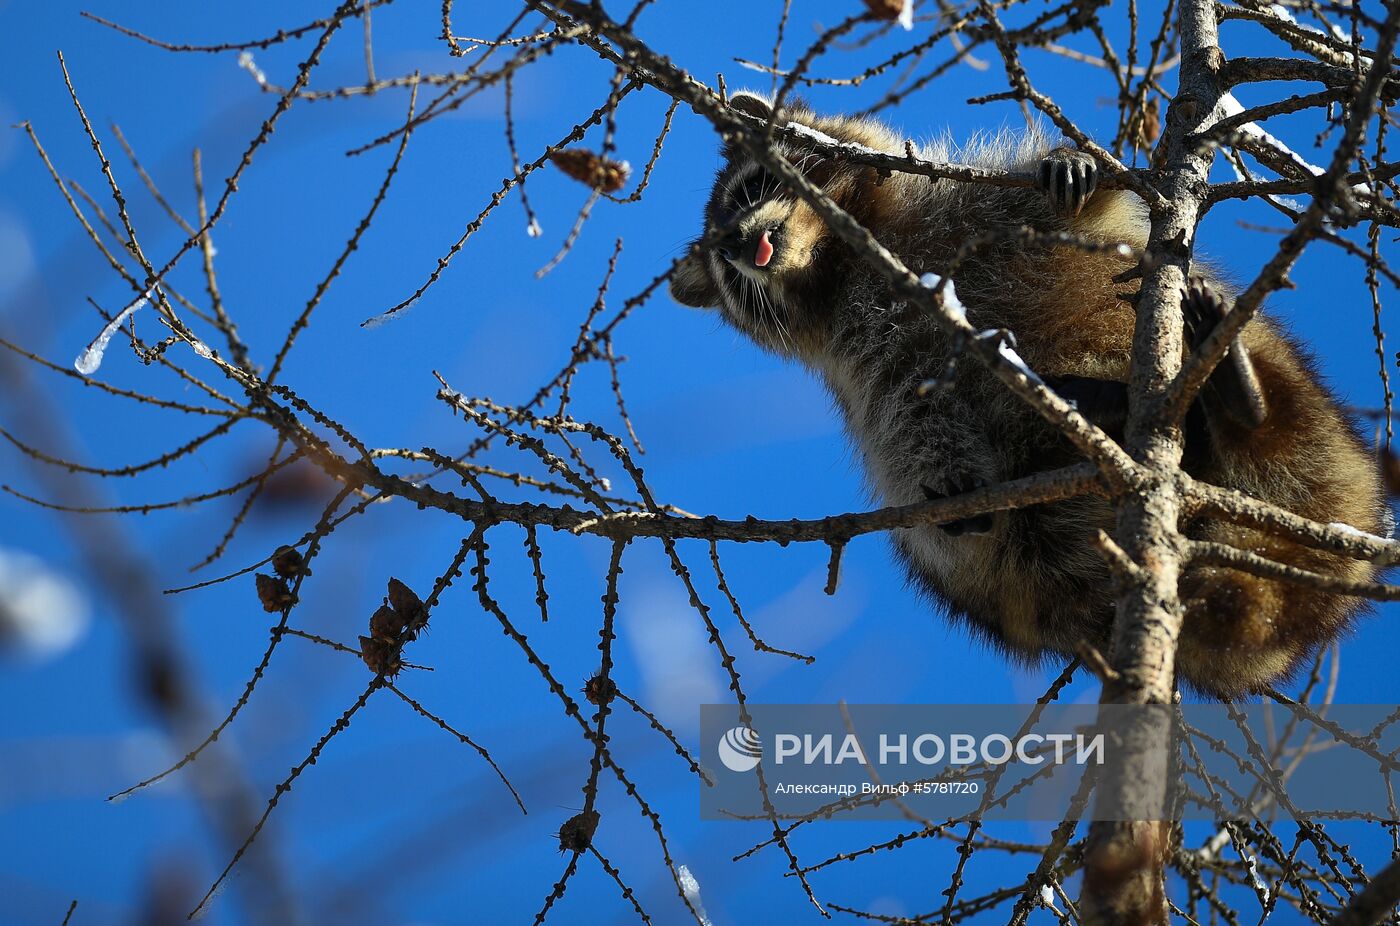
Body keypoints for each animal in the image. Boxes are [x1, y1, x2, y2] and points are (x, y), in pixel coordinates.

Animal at [672, 95, 1383, 700]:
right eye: (723, 258)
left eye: (749, 189)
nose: (737, 243)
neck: (838, 259)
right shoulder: (866, 349)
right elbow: (901, 413)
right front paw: (950, 479)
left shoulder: (972, 208)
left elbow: (1087, 211)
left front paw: (1073, 166)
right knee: (958, 536)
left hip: (1321, 434)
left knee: (1281, 411)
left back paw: (1241, 398)